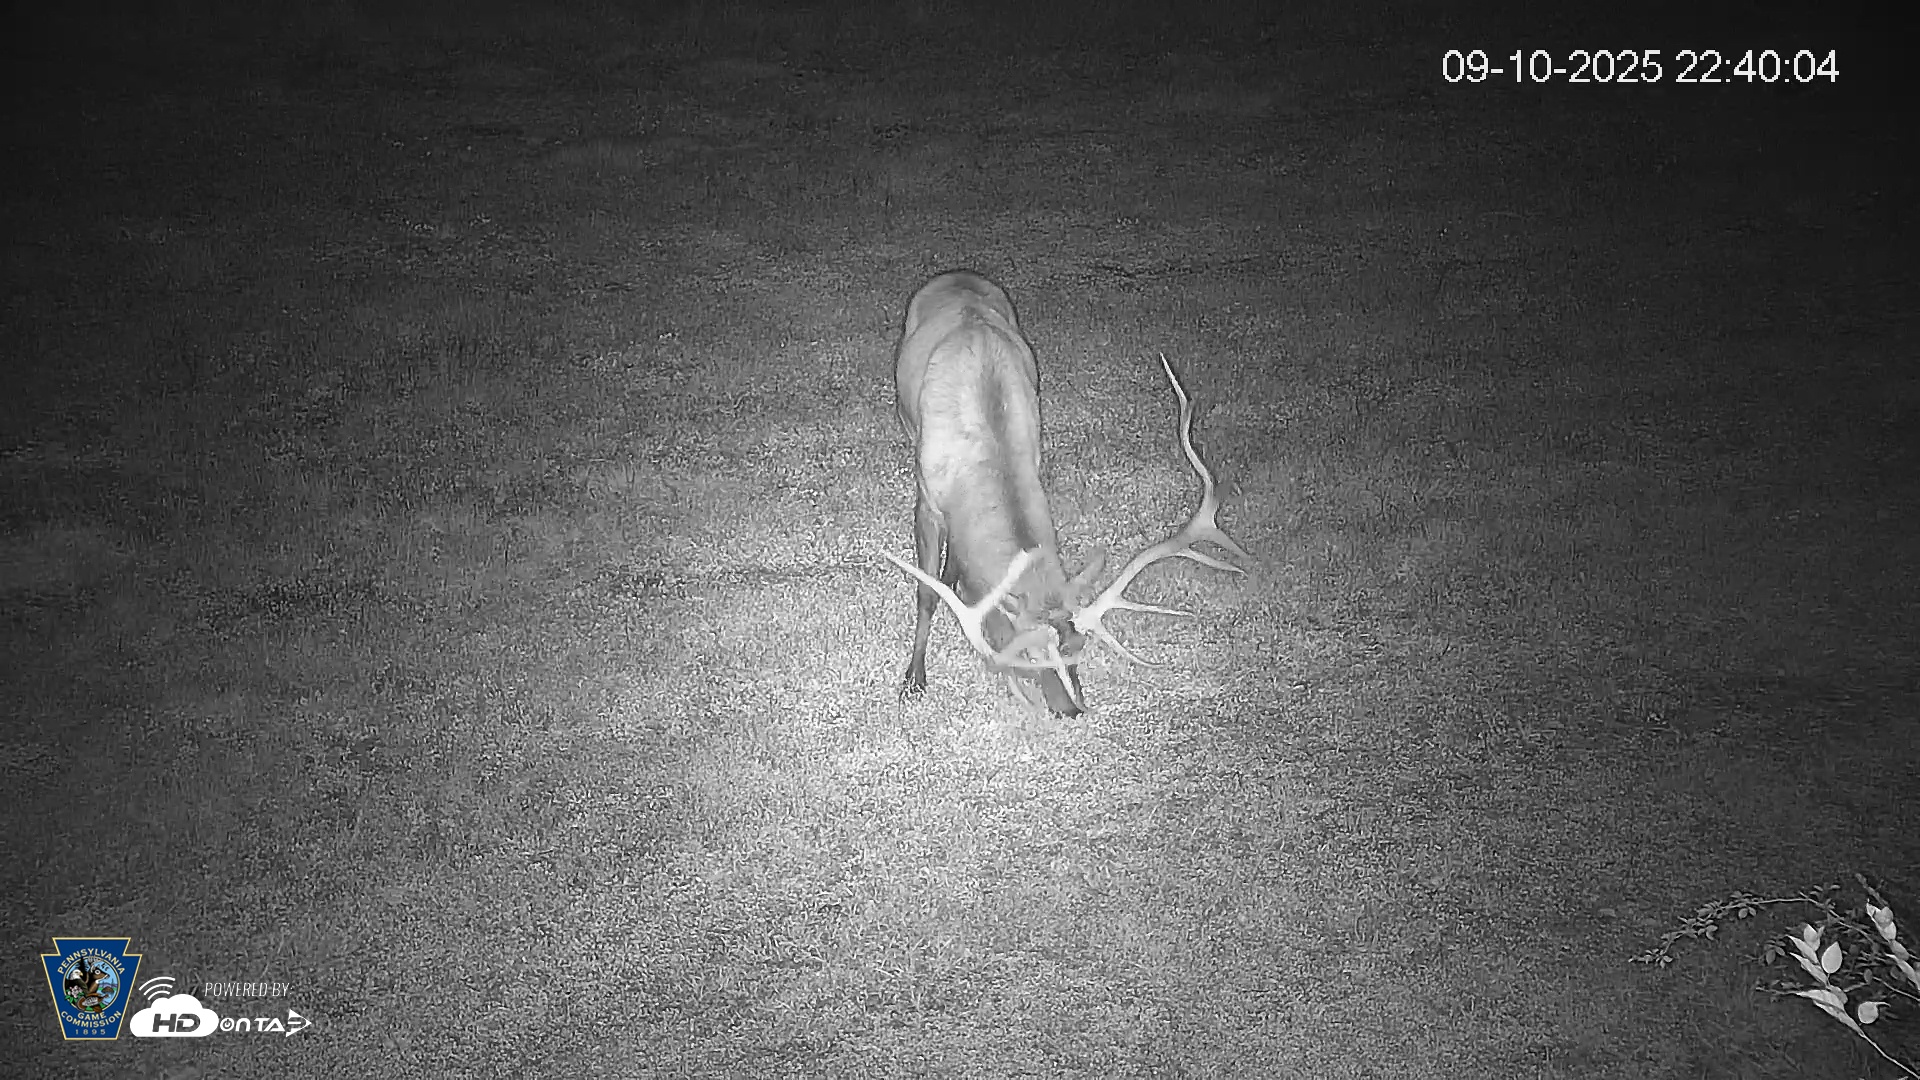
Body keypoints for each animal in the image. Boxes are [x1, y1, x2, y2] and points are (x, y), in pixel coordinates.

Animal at [883, 271, 1249, 715]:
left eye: (1078, 647)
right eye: (1028, 654)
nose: (1073, 710)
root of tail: (958, 273)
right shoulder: (927, 499)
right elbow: (926, 593)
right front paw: (913, 678)